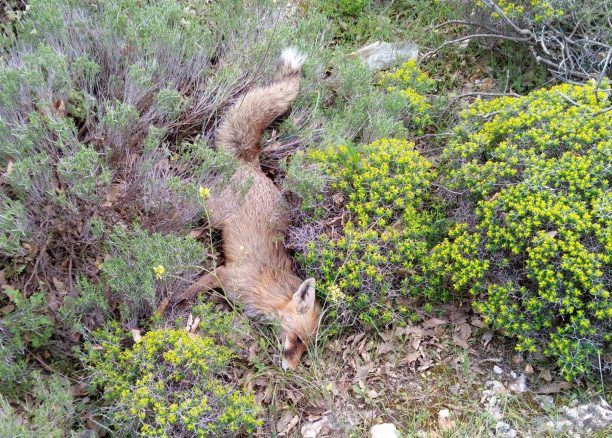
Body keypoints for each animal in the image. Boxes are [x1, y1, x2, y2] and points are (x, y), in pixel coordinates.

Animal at [177, 47, 320, 370]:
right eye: (298, 340)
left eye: (306, 350)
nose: (291, 370)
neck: (268, 292)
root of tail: (252, 165)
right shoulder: (224, 274)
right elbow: (181, 295)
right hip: (212, 211)